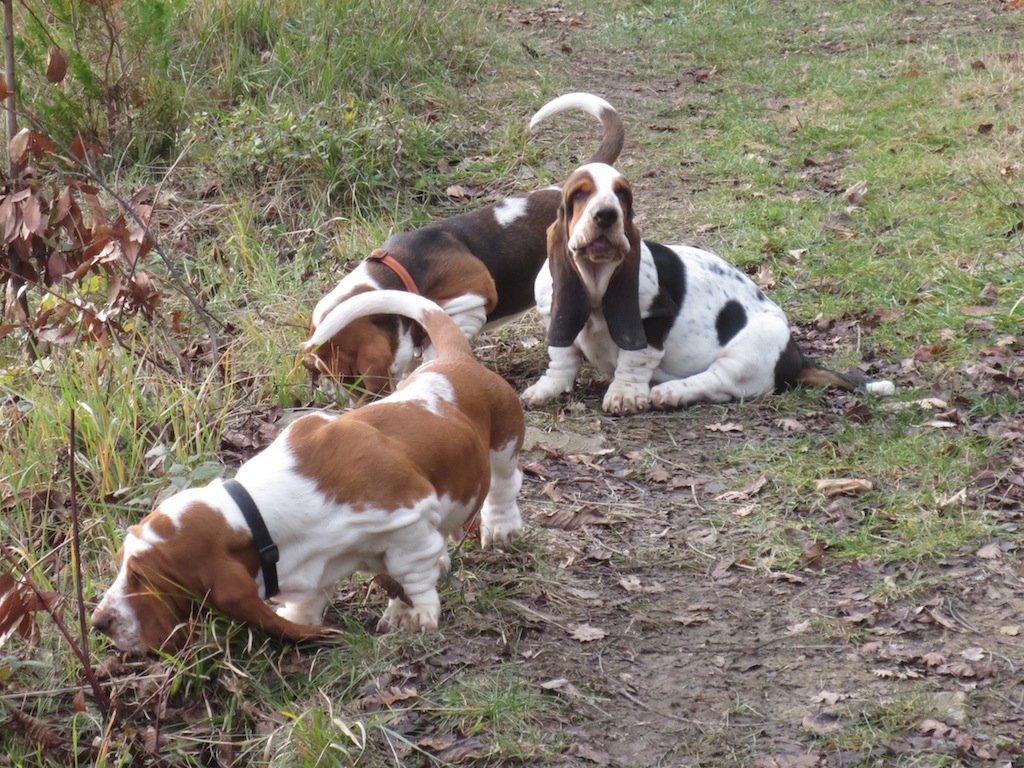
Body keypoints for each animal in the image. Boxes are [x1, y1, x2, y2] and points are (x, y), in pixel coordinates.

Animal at [92, 290, 524, 659]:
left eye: (141, 577)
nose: (98, 623)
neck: (257, 514)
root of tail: (453, 360)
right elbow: (311, 599)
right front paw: (301, 620)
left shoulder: (408, 521)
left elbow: (408, 573)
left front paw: (413, 615)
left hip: (504, 445)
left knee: (503, 486)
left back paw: (501, 528)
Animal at [524, 162, 892, 415]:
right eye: (580, 194)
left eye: (622, 196)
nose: (606, 215)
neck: (597, 278)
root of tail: (797, 357)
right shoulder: (556, 318)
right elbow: (563, 355)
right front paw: (547, 388)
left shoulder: (652, 320)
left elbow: (634, 358)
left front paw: (624, 394)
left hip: (748, 351)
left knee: (717, 382)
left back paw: (669, 392)